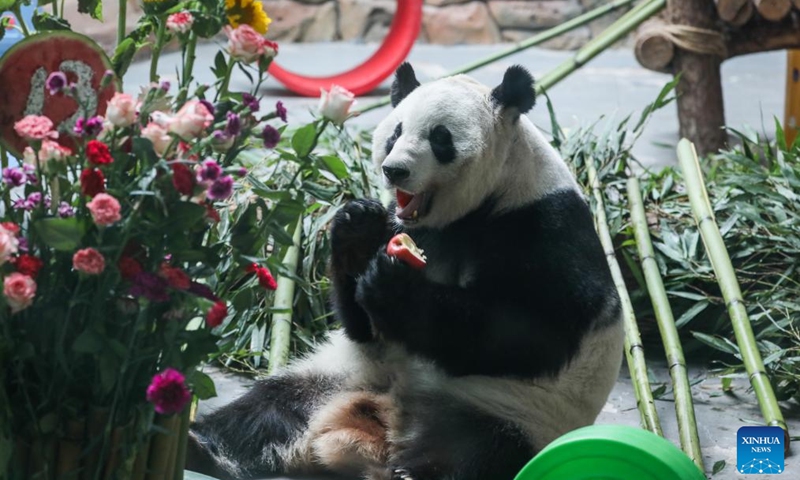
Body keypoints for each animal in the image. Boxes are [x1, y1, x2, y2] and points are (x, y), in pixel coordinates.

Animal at [186, 63, 624, 480]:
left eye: (440, 138)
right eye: (395, 132)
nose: (393, 170)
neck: (481, 203)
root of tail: (378, 423)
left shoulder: (541, 224)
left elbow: (533, 331)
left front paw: (395, 288)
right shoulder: (407, 227)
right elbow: (364, 326)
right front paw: (358, 230)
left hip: (512, 411)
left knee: (475, 452)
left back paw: (412, 472)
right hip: (334, 374)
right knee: (267, 411)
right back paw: (203, 445)